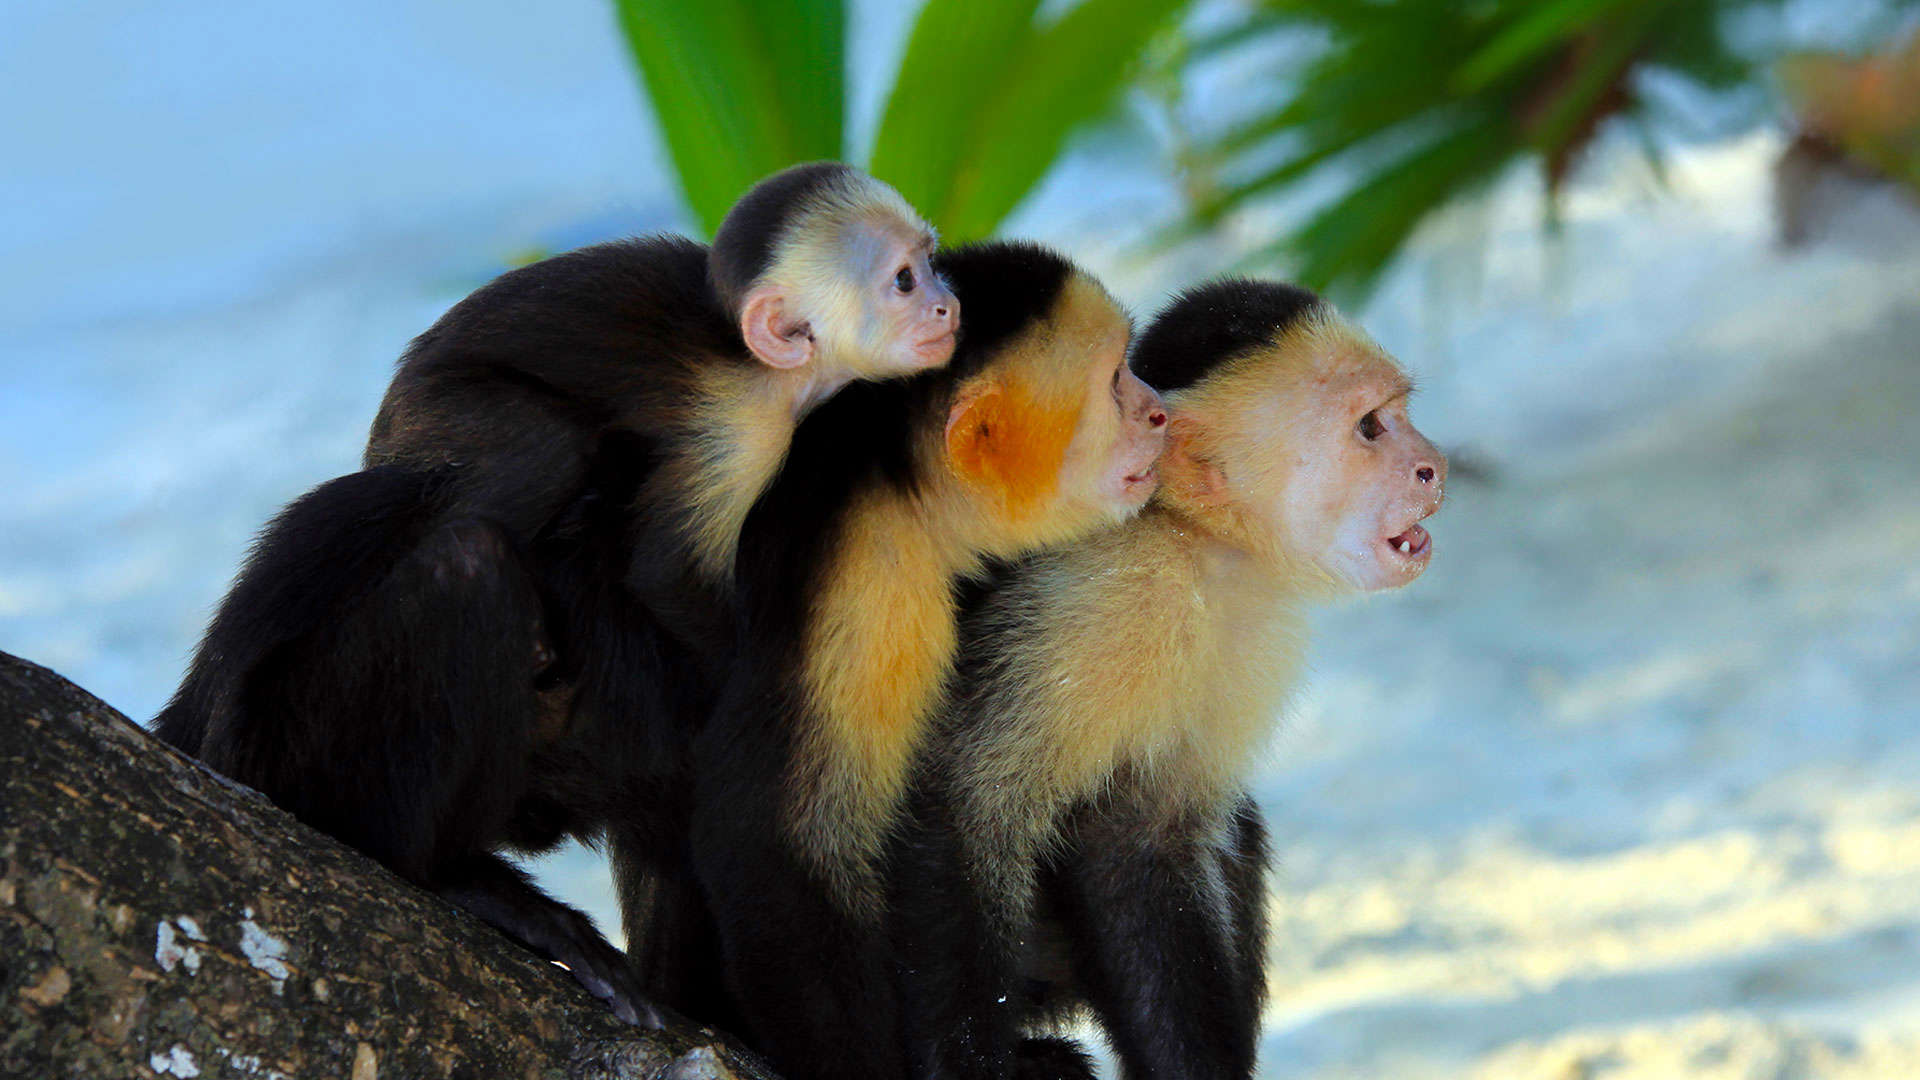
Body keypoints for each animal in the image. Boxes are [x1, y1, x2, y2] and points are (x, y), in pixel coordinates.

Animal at [147, 161, 952, 1022]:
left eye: (932, 261)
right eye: (902, 282)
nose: (947, 304)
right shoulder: (737, 426)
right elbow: (668, 572)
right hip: (446, 418)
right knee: (528, 474)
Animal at [890, 276, 1443, 1076]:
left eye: (1402, 414)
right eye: (1370, 427)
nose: (1434, 464)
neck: (1191, 540)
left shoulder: (1250, 636)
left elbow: (1142, 842)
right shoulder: (1103, 602)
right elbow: (964, 808)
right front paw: (972, 1065)